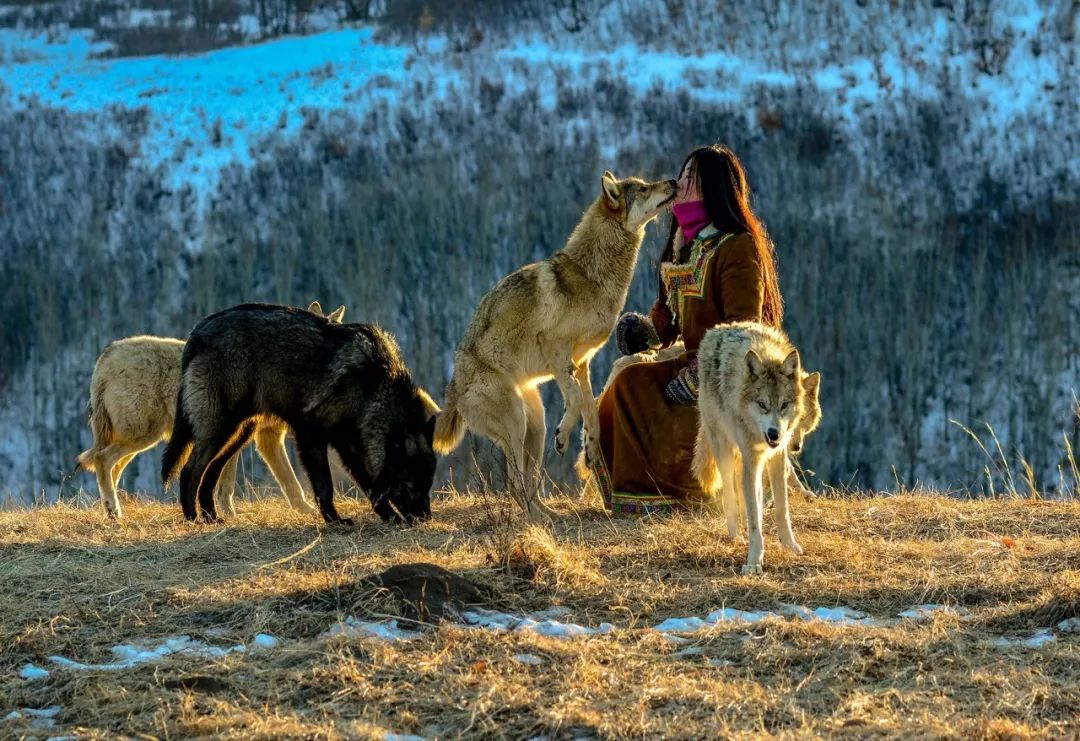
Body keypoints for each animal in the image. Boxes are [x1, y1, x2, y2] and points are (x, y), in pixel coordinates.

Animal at [76, 300, 341, 516]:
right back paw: (114, 510)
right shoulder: (259, 437)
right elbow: (280, 482)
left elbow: (237, 483)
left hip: (137, 441)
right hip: (145, 436)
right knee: (101, 459)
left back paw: (113, 511)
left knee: (109, 467)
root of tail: (106, 356)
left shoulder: (264, 436)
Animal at [160, 302, 438, 529]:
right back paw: (193, 518)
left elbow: (372, 487)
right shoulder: (311, 437)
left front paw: (389, 517)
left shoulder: (349, 447)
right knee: (190, 470)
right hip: (220, 429)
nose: (425, 518)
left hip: (238, 433)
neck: (374, 388)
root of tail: (198, 331)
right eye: (410, 485)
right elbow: (325, 487)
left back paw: (211, 516)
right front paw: (334, 521)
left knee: (211, 472)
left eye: (427, 484)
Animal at [432, 172, 673, 522]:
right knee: (514, 482)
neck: (592, 275)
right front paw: (566, 437)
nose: (673, 182)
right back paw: (538, 520)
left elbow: (591, 413)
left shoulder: (583, 363)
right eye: (643, 188)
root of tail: (453, 383)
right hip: (517, 421)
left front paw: (590, 449)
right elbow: (574, 399)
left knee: (527, 482)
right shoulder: (556, 349)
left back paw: (549, 515)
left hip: (536, 423)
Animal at [695, 324, 812, 574]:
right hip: (725, 452)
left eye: (784, 405)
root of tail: (715, 330)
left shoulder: (777, 457)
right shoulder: (751, 459)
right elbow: (754, 519)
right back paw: (735, 536)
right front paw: (754, 561)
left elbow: (782, 509)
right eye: (762, 404)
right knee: (730, 495)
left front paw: (789, 545)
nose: (774, 434)